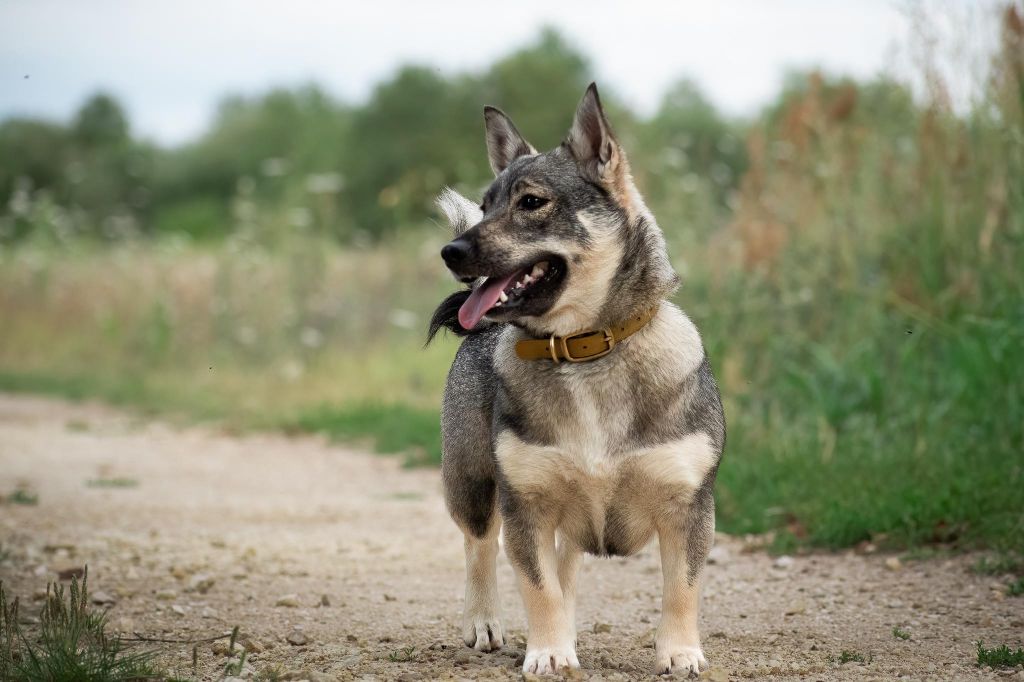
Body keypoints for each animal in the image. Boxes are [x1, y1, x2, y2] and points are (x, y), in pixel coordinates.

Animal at [428, 82, 724, 671]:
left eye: (531, 202)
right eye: (486, 205)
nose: (451, 251)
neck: (583, 350)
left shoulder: (688, 507)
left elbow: (681, 588)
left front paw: (680, 652)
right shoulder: (526, 505)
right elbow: (536, 586)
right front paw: (548, 653)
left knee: (565, 564)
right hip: (471, 480)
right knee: (479, 546)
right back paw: (483, 621)